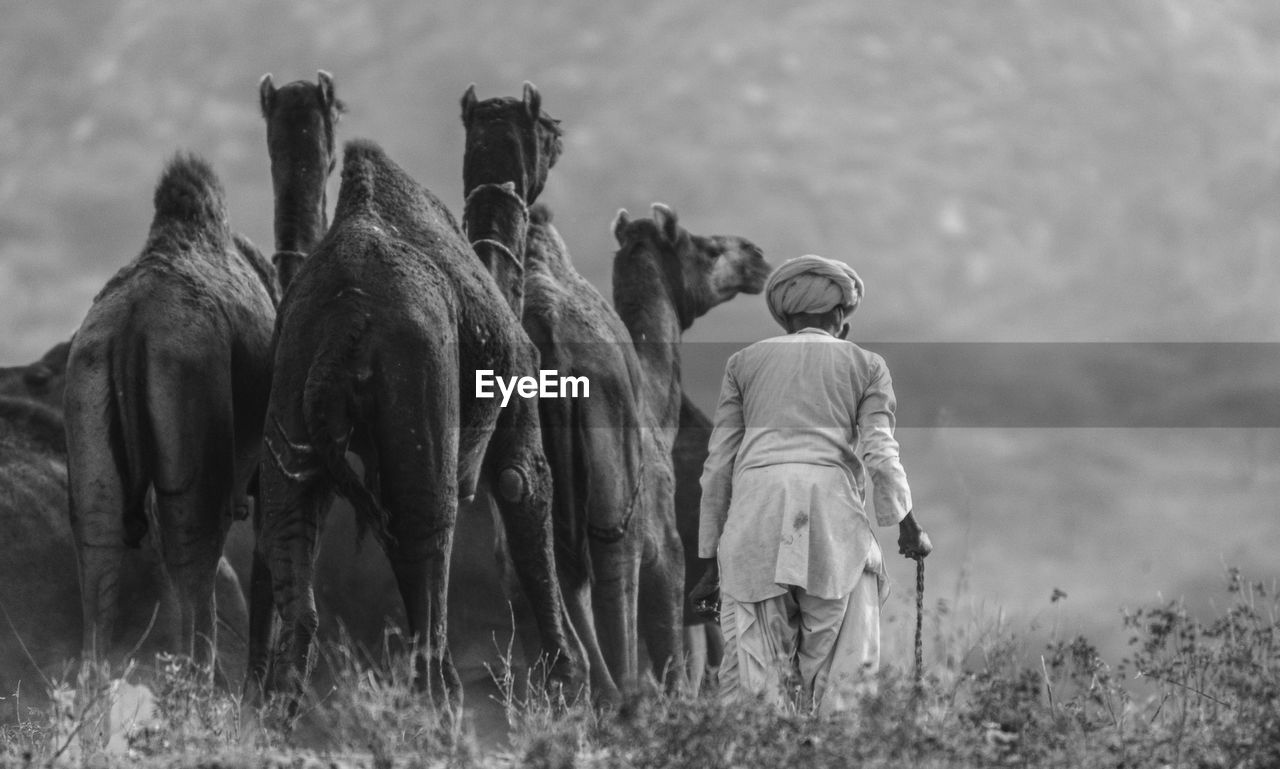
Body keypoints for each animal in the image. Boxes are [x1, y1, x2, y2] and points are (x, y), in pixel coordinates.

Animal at [256, 138, 586, 701]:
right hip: (417, 377)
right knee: (426, 526)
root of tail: (345, 321)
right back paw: (442, 694)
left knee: (290, 526)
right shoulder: (520, 382)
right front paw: (566, 681)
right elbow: (520, 481)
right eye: (546, 136)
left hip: (292, 381)